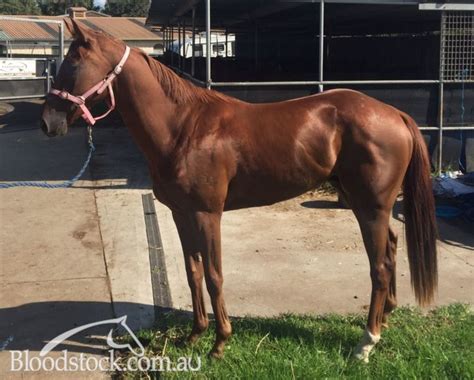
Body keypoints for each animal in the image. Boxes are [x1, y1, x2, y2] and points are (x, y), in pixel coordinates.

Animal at [41, 20, 436, 362]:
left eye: (72, 63)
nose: (47, 122)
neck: (181, 127)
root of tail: (396, 114)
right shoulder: (180, 214)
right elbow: (193, 273)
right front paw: (195, 335)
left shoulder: (207, 215)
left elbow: (215, 276)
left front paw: (219, 343)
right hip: (364, 203)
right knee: (392, 248)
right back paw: (385, 320)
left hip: (371, 207)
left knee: (380, 267)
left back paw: (365, 343)